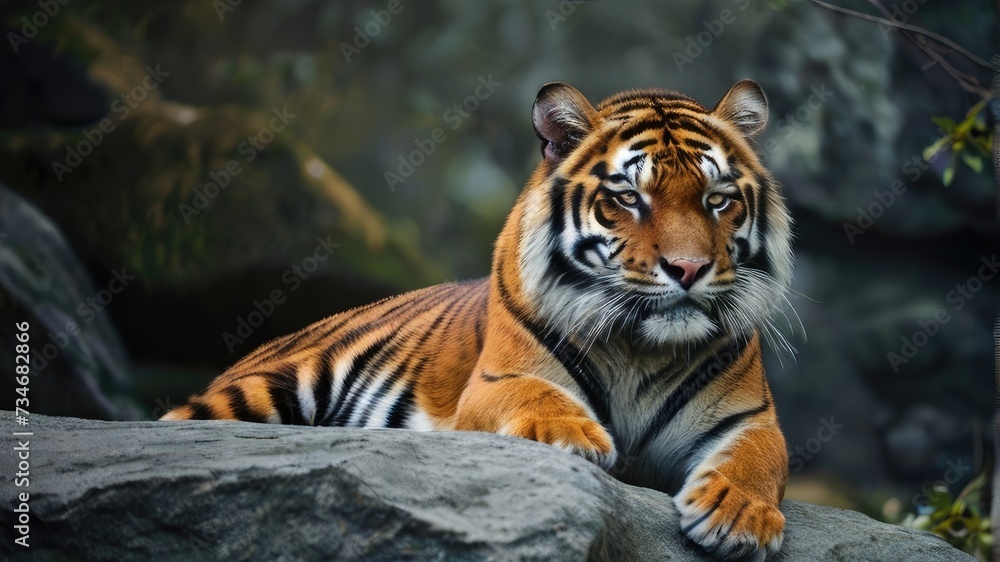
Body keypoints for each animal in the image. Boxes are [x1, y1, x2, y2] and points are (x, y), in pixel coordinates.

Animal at [162, 79, 794, 560]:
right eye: (628, 198)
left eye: (717, 199)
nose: (688, 268)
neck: (642, 347)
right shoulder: (495, 383)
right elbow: (539, 396)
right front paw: (572, 434)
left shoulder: (751, 417)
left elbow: (761, 458)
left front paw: (738, 513)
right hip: (259, 390)